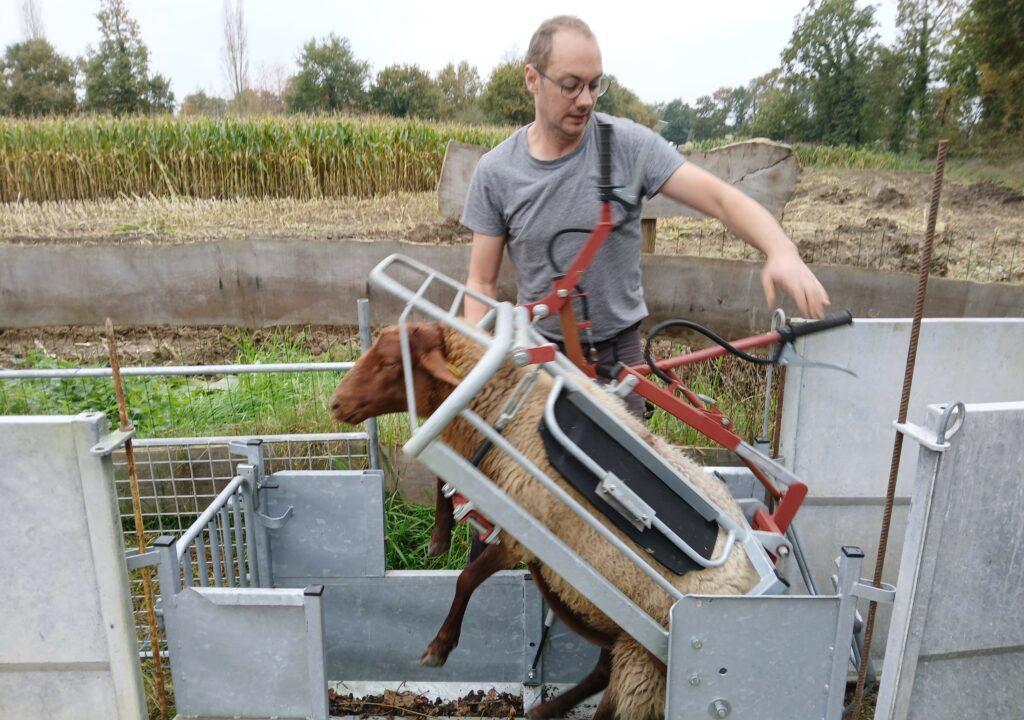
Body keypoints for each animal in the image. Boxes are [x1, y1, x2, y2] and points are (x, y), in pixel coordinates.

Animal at [329, 323, 761, 716]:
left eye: (389, 362)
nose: (334, 404)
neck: (514, 409)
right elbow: (442, 479)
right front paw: (440, 537)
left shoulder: (518, 537)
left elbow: (466, 579)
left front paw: (439, 647)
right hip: (615, 626)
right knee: (604, 670)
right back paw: (546, 710)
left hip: (646, 653)